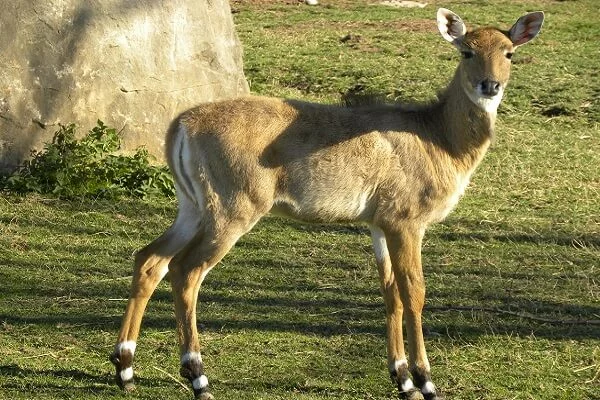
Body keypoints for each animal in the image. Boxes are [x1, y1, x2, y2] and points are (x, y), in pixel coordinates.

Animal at [109, 7, 544, 400]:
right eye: (466, 51)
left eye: (509, 52)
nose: (490, 85)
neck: (440, 140)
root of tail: (180, 126)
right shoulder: (406, 219)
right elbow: (414, 292)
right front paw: (425, 381)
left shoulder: (378, 223)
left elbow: (389, 291)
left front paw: (401, 379)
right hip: (233, 207)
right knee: (186, 271)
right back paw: (198, 377)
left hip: (192, 205)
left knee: (150, 259)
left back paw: (125, 368)